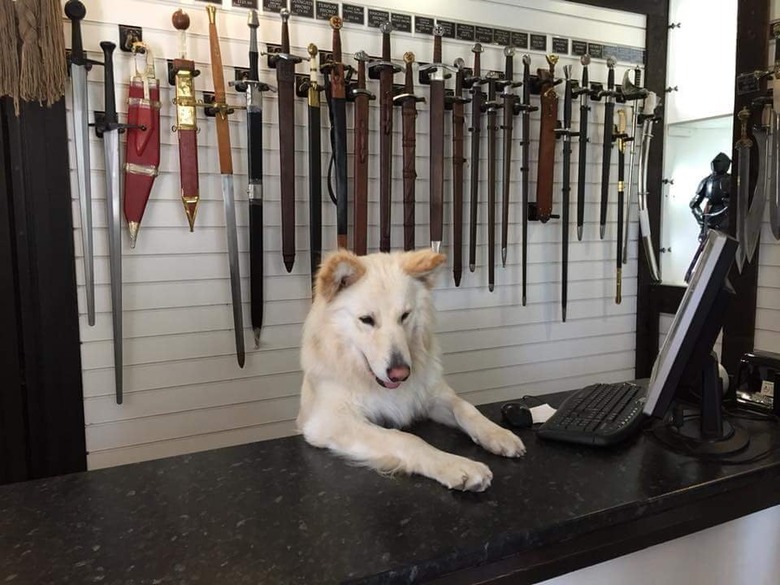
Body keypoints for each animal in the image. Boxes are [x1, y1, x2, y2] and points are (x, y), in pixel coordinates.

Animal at [296, 249, 528, 490]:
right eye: (366, 320)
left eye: (404, 316)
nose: (400, 374)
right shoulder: (333, 422)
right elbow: (407, 439)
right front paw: (457, 465)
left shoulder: (433, 396)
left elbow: (466, 408)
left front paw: (497, 433)